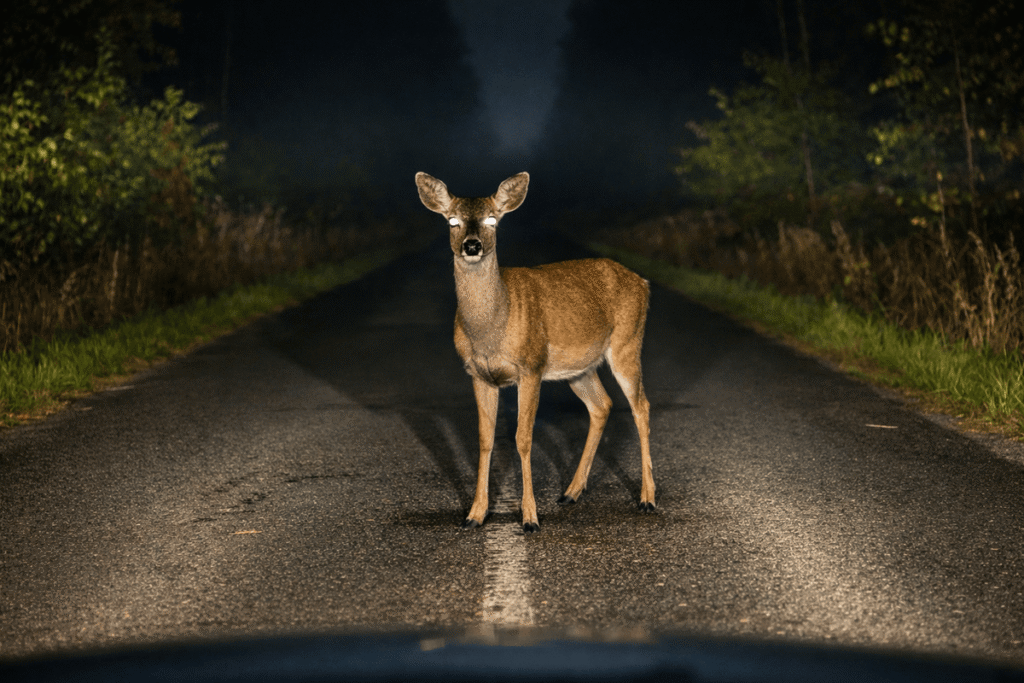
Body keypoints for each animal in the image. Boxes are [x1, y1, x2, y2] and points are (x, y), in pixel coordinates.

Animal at [415, 171, 654, 533]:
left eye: (492, 220)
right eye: (452, 221)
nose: (472, 245)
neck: (492, 329)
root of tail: (643, 282)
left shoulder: (531, 366)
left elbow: (523, 438)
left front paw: (529, 517)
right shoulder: (478, 374)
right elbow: (485, 440)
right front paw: (475, 514)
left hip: (627, 342)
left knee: (640, 406)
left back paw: (647, 498)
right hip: (579, 368)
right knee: (602, 405)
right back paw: (571, 491)